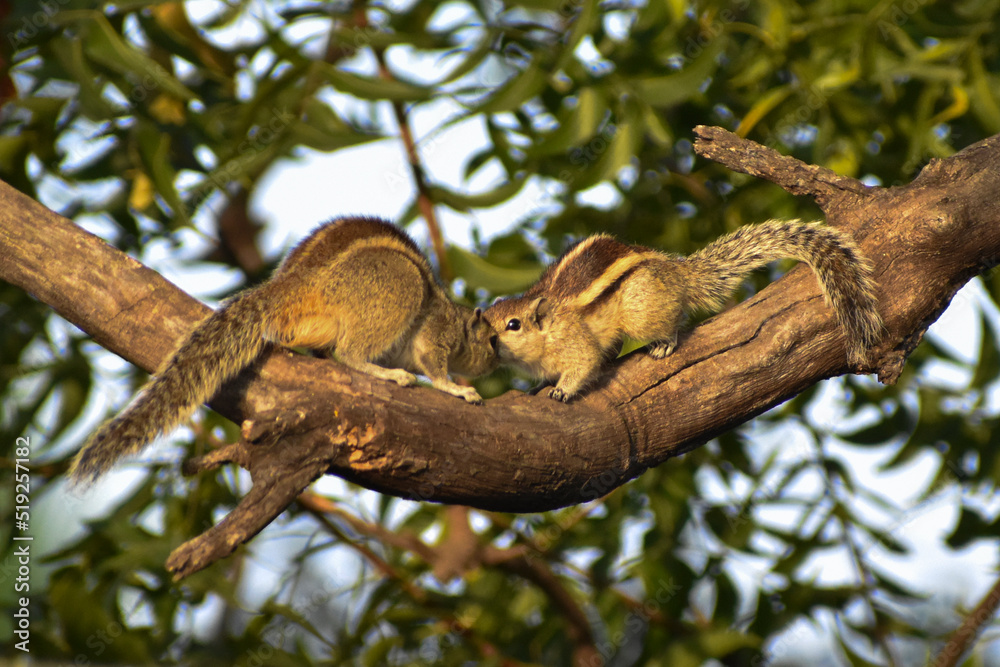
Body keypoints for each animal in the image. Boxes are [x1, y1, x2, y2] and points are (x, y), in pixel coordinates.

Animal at [68, 217, 498, 482]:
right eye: (494, 339)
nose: (497, 361)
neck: (457, 317)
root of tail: (296, 286)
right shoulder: (436, 333)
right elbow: (435, 367)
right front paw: (458, 388)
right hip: (395, 286)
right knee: (350, 353)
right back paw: (385, 373)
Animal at [484, 219, 884, 402]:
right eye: (482, 320)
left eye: (513, 325)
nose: (489, 345)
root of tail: (677, 274)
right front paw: (538, 387)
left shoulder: (574, 342)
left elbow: (583, 364)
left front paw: (561, 391)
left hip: (640, 308)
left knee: (672, 320)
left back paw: (665, 343)